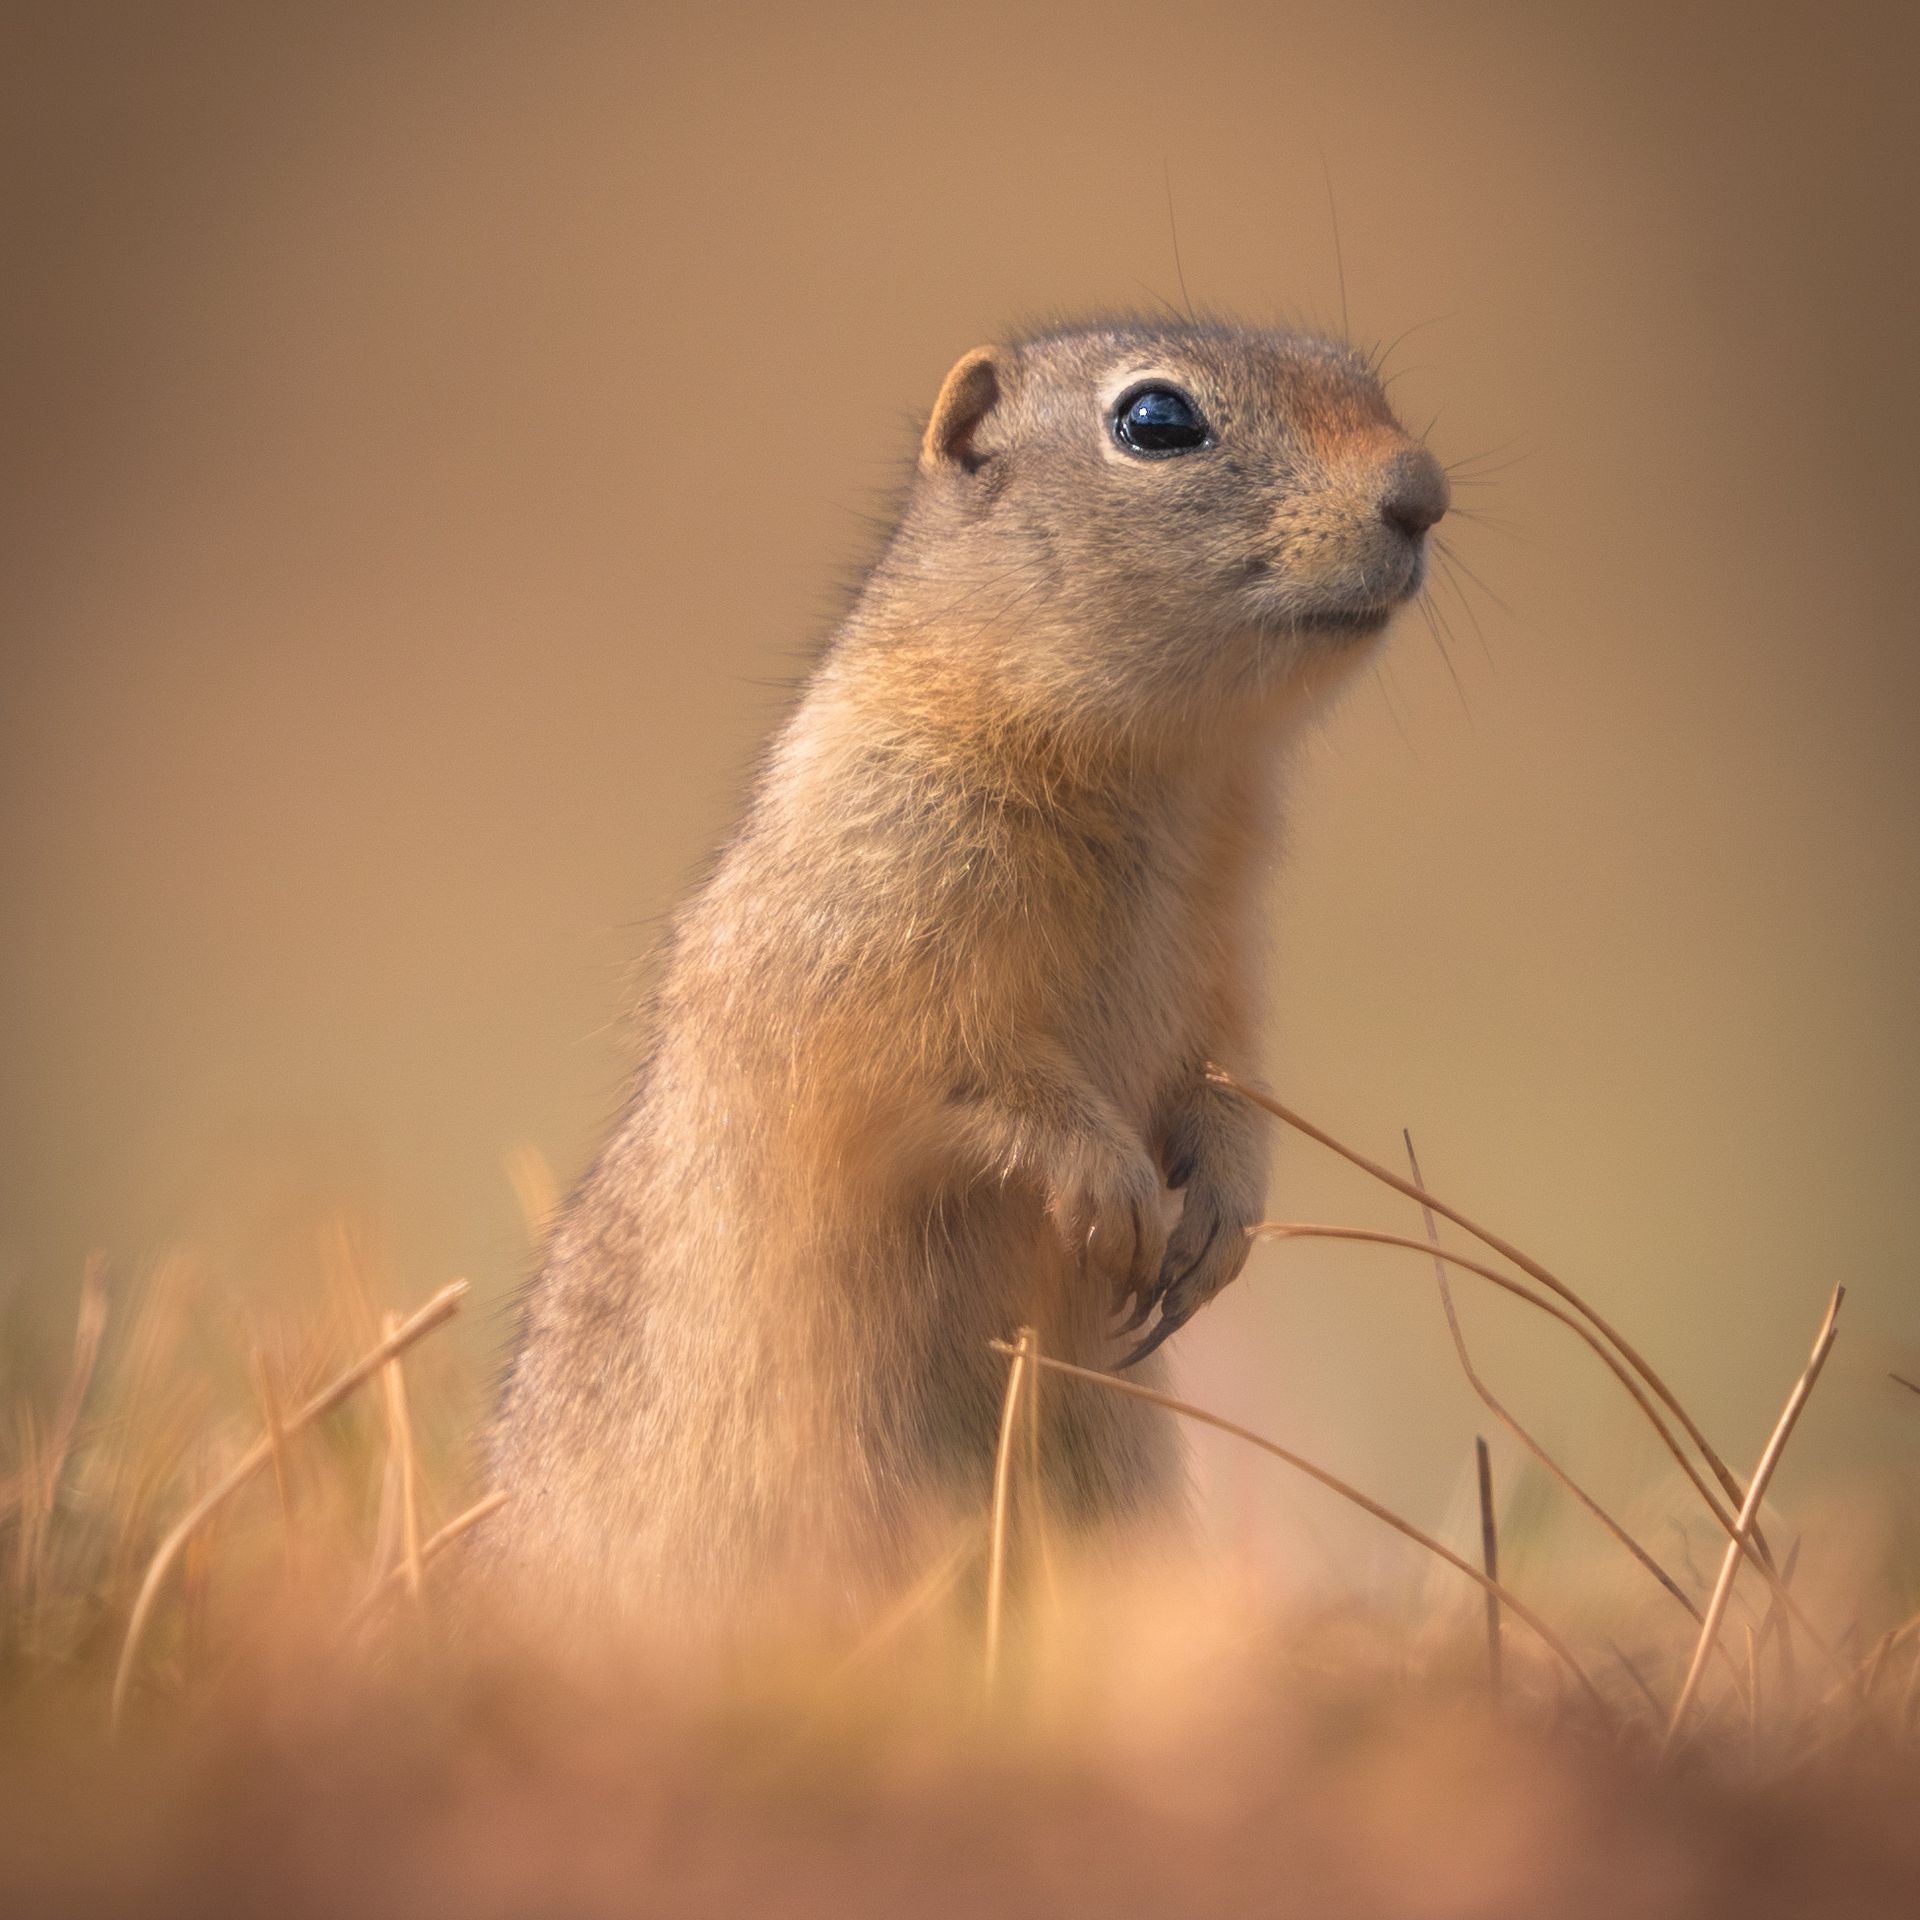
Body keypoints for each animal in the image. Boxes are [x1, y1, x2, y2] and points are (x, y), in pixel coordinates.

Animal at [478, 317, 1447, 1632]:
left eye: (1364, 381)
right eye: (1157, 420)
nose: (1424, 493)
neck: (1165, 781)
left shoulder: (1228, 961)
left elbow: (1229, 1082)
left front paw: (1219, 1224)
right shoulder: (883, 917)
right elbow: (948, 1073)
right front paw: (1111, 1190)